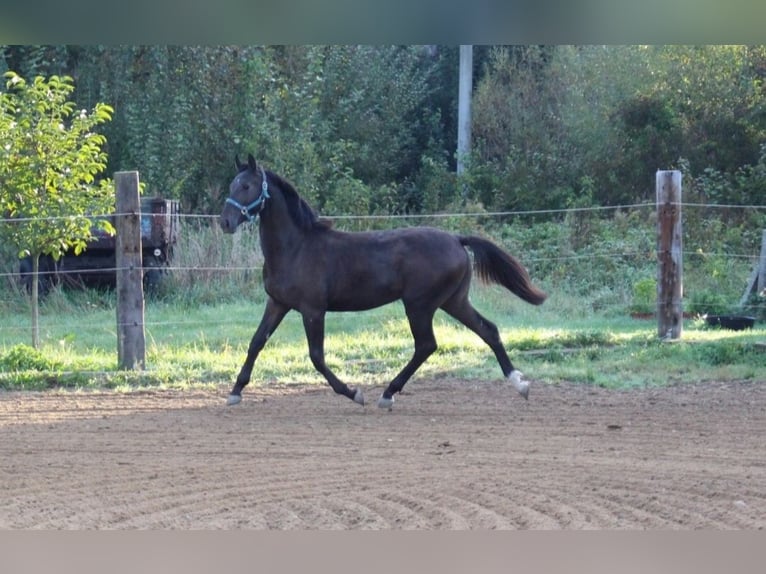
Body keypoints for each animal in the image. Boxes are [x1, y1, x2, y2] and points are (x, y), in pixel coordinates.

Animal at [219, 155, 548, 412]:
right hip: (453, 301)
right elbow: (256, 342)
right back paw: (520, 384)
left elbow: (316, 356)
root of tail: (456, 239)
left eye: (246, 186)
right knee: (487, 330)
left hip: (419, 305)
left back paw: (388, 394)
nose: (225, 222)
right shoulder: (278, 303)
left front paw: (354, 393)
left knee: (426, 345)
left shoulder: (313, 309)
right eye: (232, 185)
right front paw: (235, 392)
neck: (296, 247)